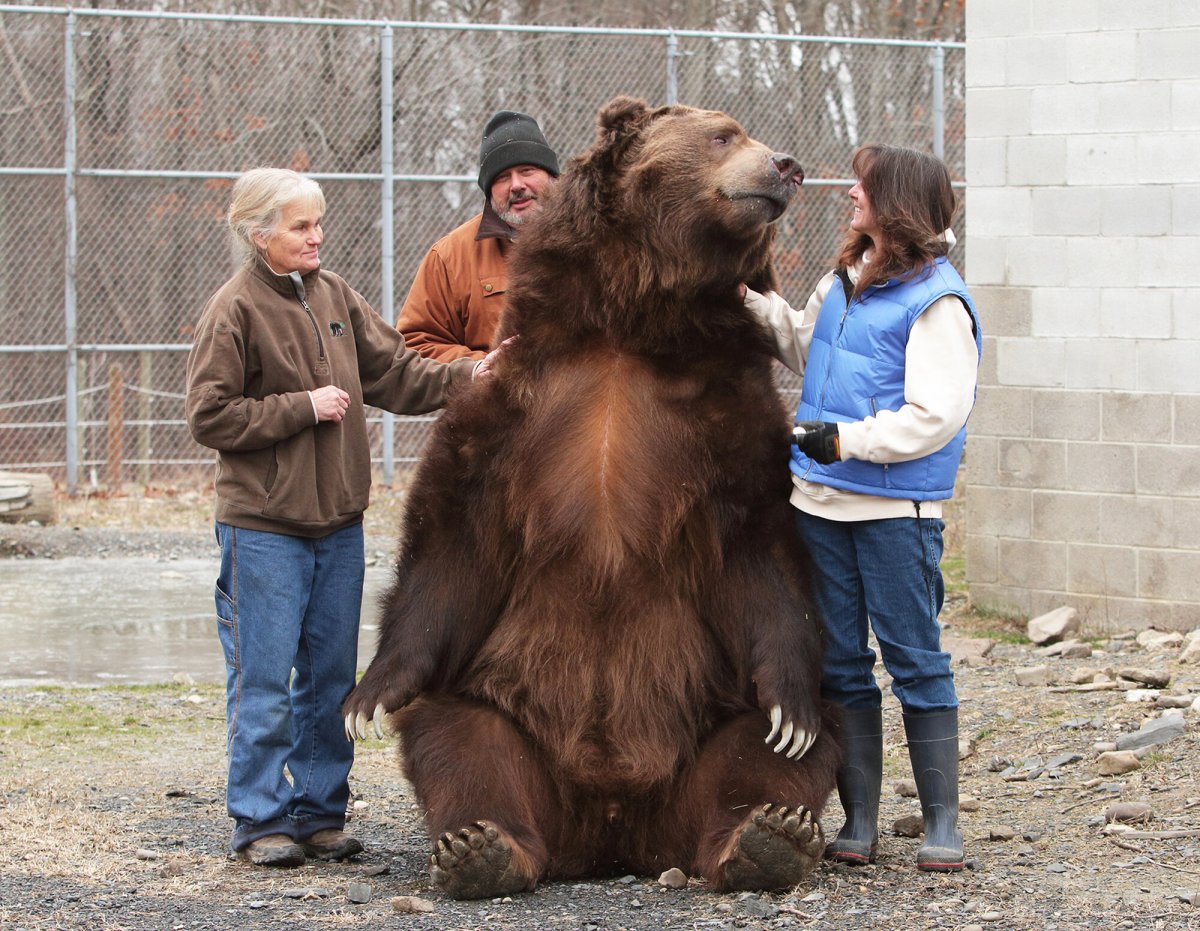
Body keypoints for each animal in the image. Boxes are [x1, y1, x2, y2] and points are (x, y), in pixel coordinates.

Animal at [344, 96, 839, 899]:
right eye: (722, 134)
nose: (786, 166)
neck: (628, 320)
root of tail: (611, 833)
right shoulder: (512, 412)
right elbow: (452, 548)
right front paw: (364, 697)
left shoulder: (726, 418)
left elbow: (760, 554)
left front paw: (789, 712)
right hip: (510, 714)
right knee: (462, 736)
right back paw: (483, 846)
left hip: (708, 717)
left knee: (772, 746)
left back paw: (766, 837)